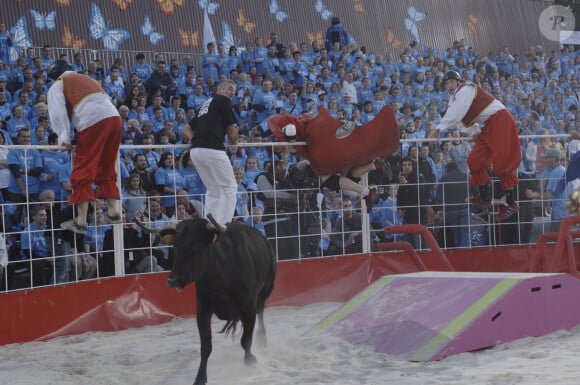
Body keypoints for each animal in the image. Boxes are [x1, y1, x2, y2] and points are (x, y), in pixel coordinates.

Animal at [154, 219, 276, 384]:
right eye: (175, 246)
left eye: (195, 247)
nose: (173, 281)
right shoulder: (203, 309)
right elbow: (206, 347)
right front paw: (200, 377)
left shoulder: (248, 306)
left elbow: (246, 339)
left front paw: (250, 360)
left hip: (266, 288)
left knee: (261, 311)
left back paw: (262, 339)